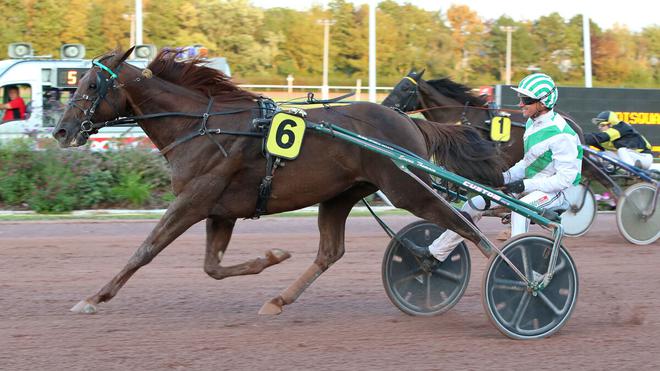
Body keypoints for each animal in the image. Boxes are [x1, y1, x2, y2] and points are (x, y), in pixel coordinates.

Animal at [52, 48, 506, 316]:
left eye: (91, 85)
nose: (60, 130)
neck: (202, 125)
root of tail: (407, 121)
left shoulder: (193, 200)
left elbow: (145, 250)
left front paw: (94, 298)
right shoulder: (220, 211)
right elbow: (212, 267)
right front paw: (271, 257)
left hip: (405, 186)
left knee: (465, 226)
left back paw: (510, 274)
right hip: (340, 195)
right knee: (330, 252)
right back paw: (278, 299)